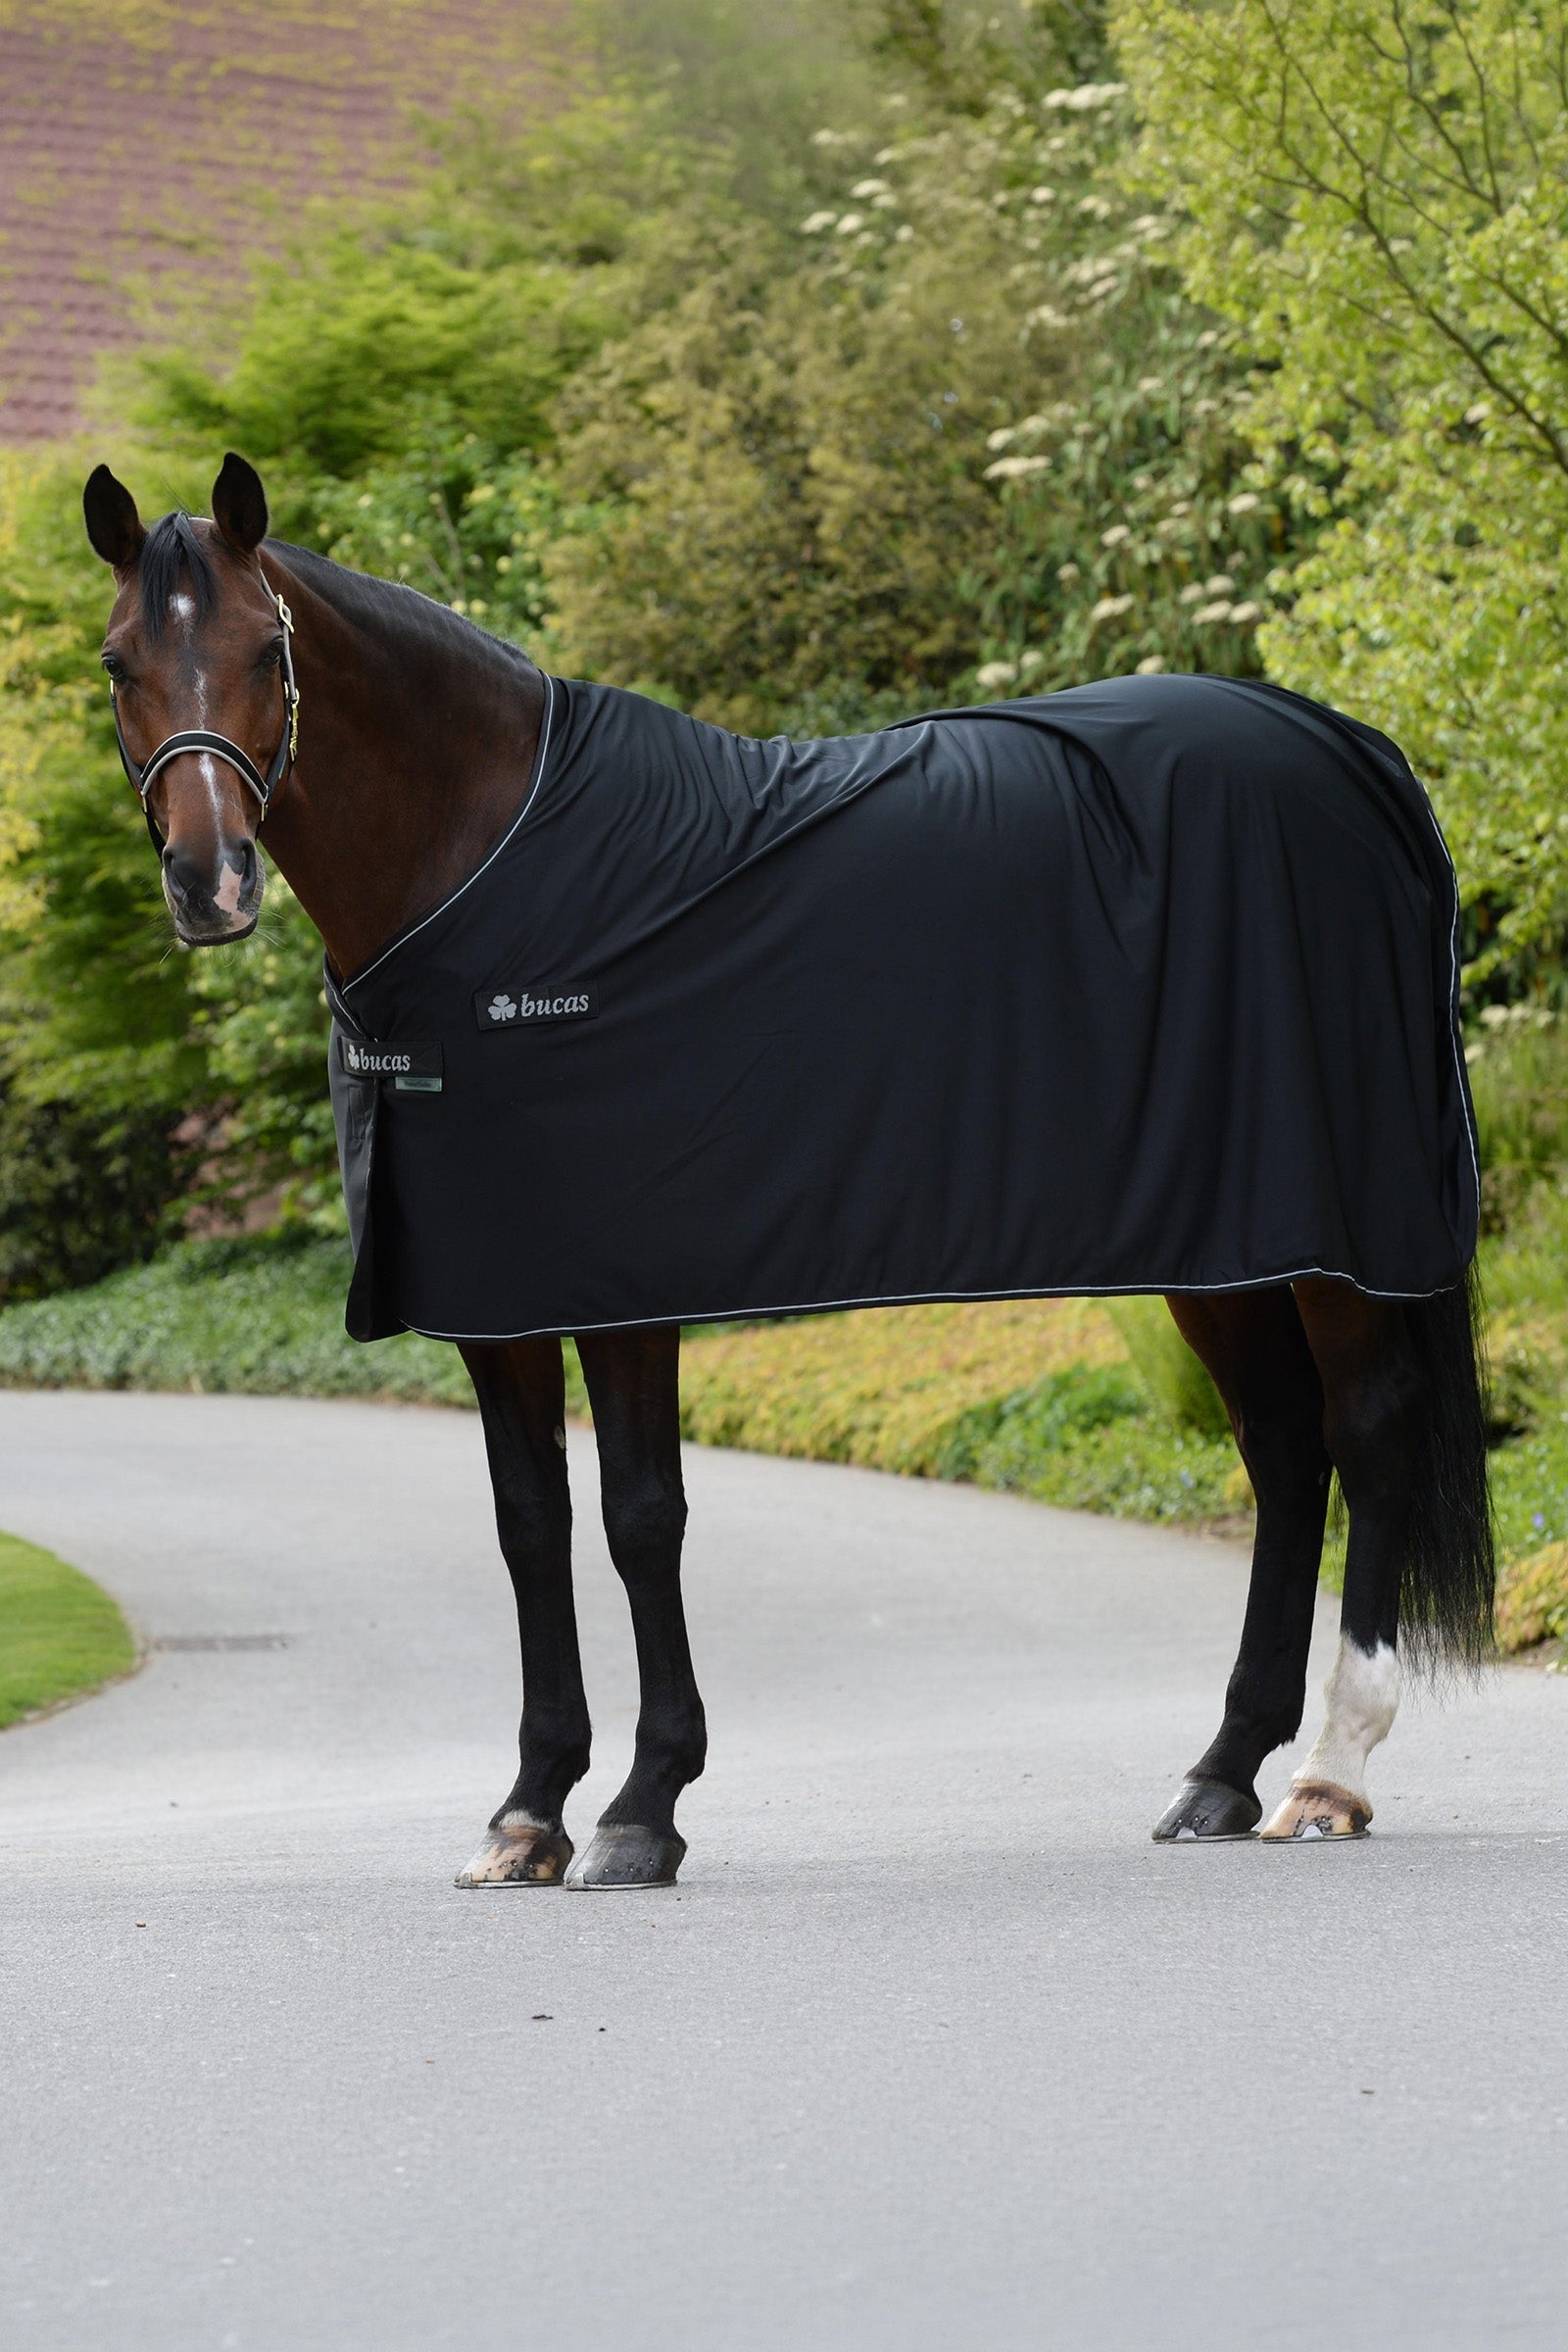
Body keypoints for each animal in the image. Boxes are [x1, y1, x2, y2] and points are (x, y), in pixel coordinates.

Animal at [82, 452, 1494, 1888]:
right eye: (117, 662)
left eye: (268, 653)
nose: (210, 881)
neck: (494, 881)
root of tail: (1360, 756)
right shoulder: (499, 1296)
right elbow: (530, 1526)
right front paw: (528, 1811)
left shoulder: (624, 1288)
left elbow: (640, 1518)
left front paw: (643, 1807)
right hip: (1224, 1243)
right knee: (1283, 1450)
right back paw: (1220, 1772)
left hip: (1337, 1236)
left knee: (1366, 1432)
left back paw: (1327, 1773)